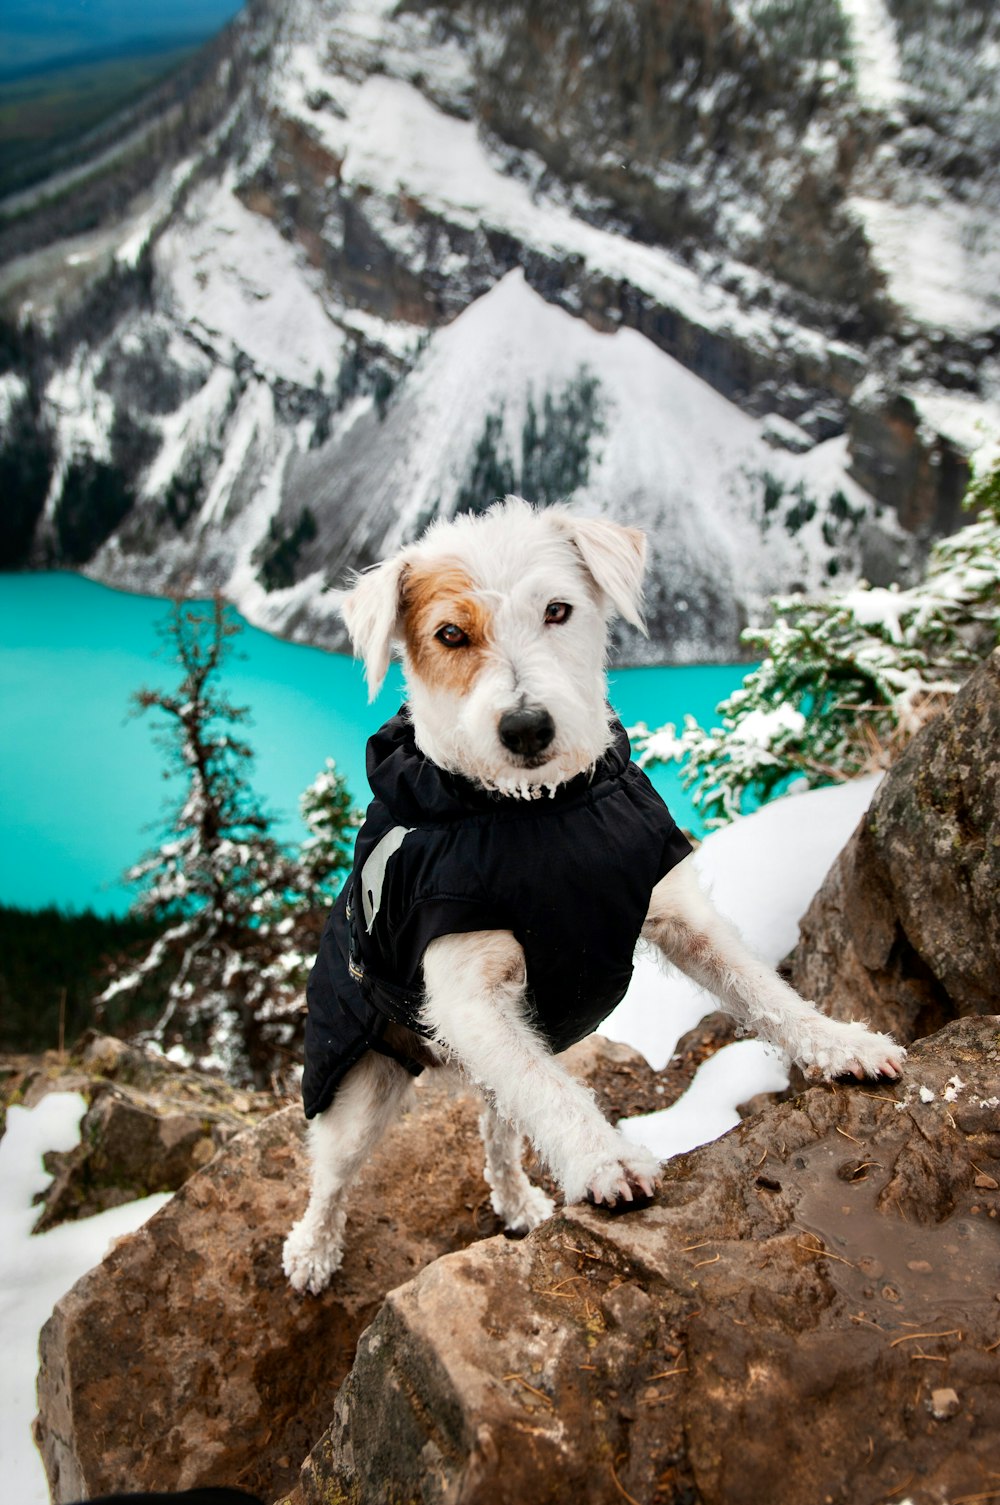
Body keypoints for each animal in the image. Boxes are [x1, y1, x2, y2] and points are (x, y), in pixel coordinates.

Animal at [283, 496, 903, 1294]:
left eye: (558, 609)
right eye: (451, 633)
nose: (525, 726)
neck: (543, 815)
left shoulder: (679, 917)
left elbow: (764, 991)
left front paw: (842, 1043)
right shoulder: (469, 996)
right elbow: (552, 1092)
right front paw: (605, 1160)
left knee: (499, 1131)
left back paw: (518, 1202)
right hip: (357, 1086)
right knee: (333, 1175)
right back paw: (312, 1250)